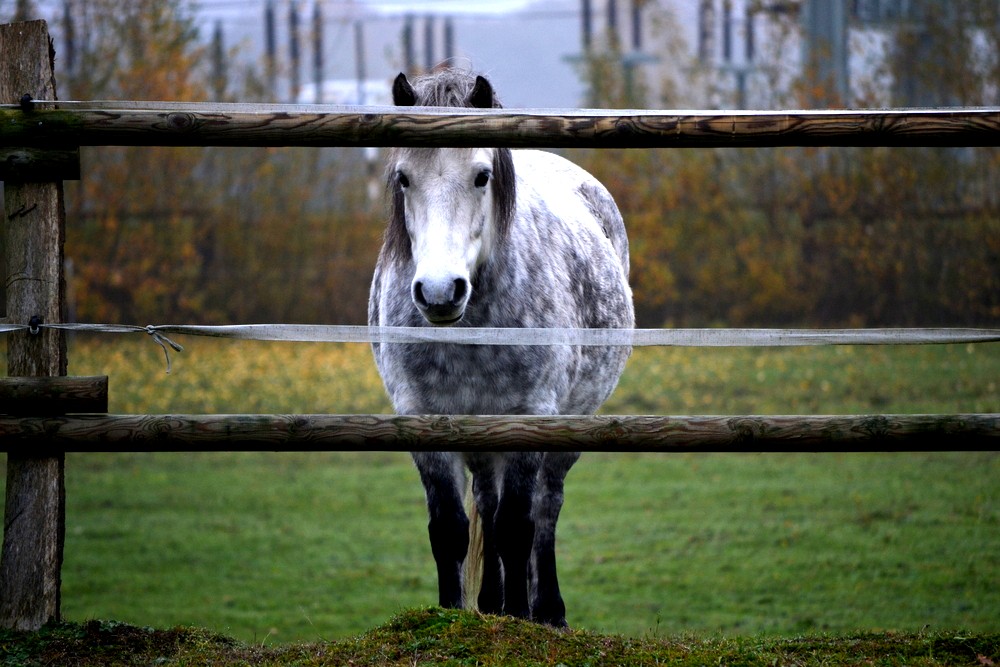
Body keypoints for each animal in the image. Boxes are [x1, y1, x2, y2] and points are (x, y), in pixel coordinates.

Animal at [368, 70, 632, 628]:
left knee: (545, 509)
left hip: (567, 427)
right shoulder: (423, 417)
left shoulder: (530, 417)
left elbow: (517, 528)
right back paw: (490, 603)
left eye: (481, 176)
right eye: (403, 178)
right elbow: (450, 530)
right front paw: (453, 615)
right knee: (486, 507)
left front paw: (521, 618)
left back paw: (547, 610)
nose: (439, 292)